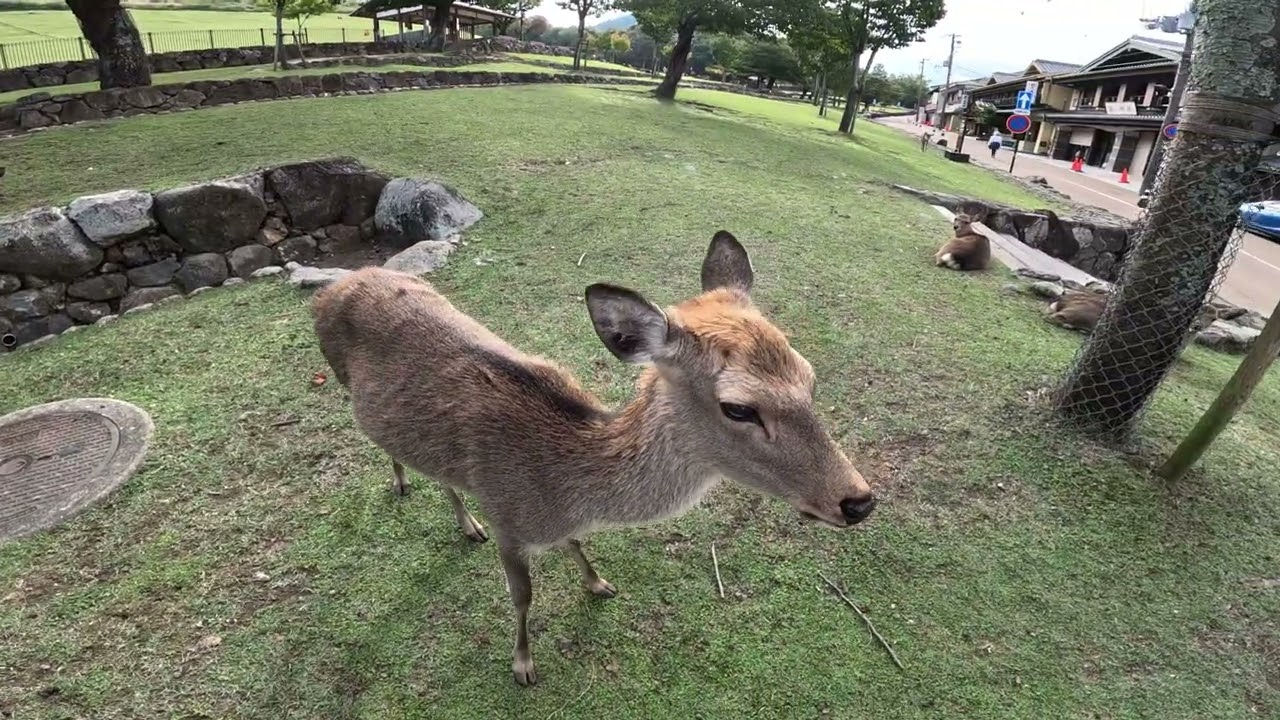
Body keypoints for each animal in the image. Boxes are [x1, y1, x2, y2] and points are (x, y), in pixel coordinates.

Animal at [311, 231, 876, 687]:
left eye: (809, 376)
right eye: (738, 407)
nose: (859, 501)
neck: (562, 486)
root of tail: (333, 286)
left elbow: (576, 545)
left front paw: (598, 583)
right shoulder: (507, 517)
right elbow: (522, 596)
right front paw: (523, 665)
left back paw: (464, 524)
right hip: (341, 380)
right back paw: (406, 485)